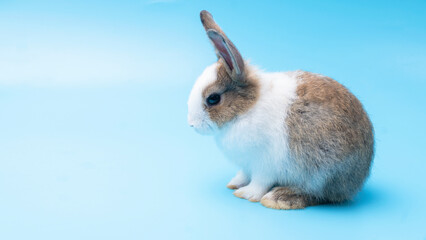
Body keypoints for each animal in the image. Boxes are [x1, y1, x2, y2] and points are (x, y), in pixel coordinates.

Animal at [188, 10, 374, 210]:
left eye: (213, 99)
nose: (191, 124)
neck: (246, 109)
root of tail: (358, 180)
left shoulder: (264, 164)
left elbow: (259, 182)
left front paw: (246, 194)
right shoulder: (246, 164)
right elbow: (244, 174)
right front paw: (235, 183)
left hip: (321, 173)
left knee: (317, 194)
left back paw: (278, 197)